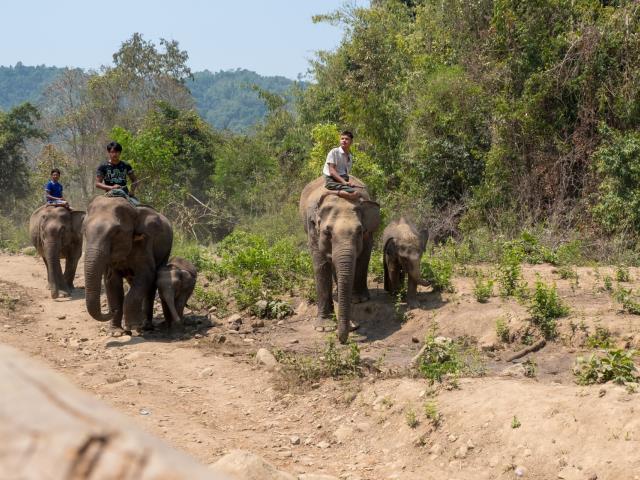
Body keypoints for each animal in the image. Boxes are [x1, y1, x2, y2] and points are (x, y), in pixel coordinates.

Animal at [83, 195, 172, 334]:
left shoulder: (145, 243)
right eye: (85, 231)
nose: (112, 310)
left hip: (166, 252)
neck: (134, 212)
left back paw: (145, 325)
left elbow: (146, 275)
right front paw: (116, 332)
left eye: (115, 232)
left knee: (151, 286)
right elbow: (112, 283)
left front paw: (134, 327)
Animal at [300, 174, 380, 344]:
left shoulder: (367, 234)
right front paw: (324, 328)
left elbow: (363, 257)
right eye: (327, 233)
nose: (342, 340)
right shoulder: (313, 231)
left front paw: (358, 300)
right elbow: (321, 266)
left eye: (359, 231)